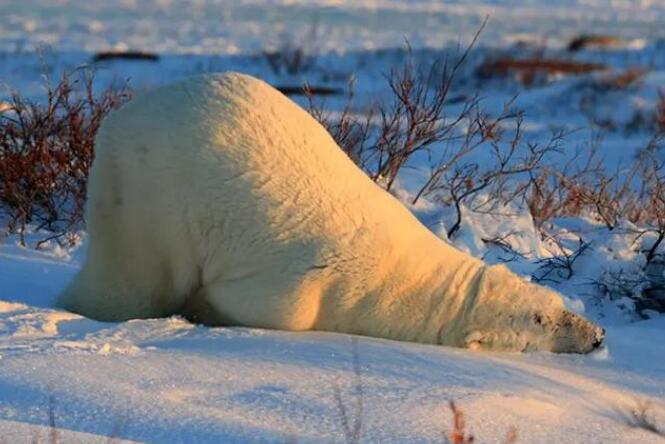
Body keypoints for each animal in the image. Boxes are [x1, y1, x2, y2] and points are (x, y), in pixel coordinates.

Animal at [59, 73, 604, 354]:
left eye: (557, 304)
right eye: (541, 320)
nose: (597, 336)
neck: (400, 281)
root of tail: (118, 118)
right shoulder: (315, 275)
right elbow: (278, 306)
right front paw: (204, 309)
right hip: (147, 191)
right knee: (134, 275)